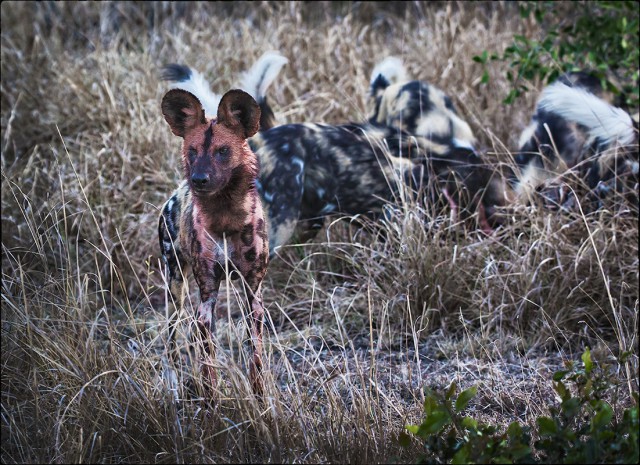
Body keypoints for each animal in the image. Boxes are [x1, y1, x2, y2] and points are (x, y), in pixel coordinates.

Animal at [161, 86, 272, 392]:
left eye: (222, 151)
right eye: (192, 151)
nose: (199, 179)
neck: (225, 217)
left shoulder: (252, 294)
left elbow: (256, 360)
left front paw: (261, 400)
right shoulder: (207, 296)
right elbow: (207, 365)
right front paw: (211, 400)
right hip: (176, 288)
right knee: (173, 340)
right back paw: (173, 389)